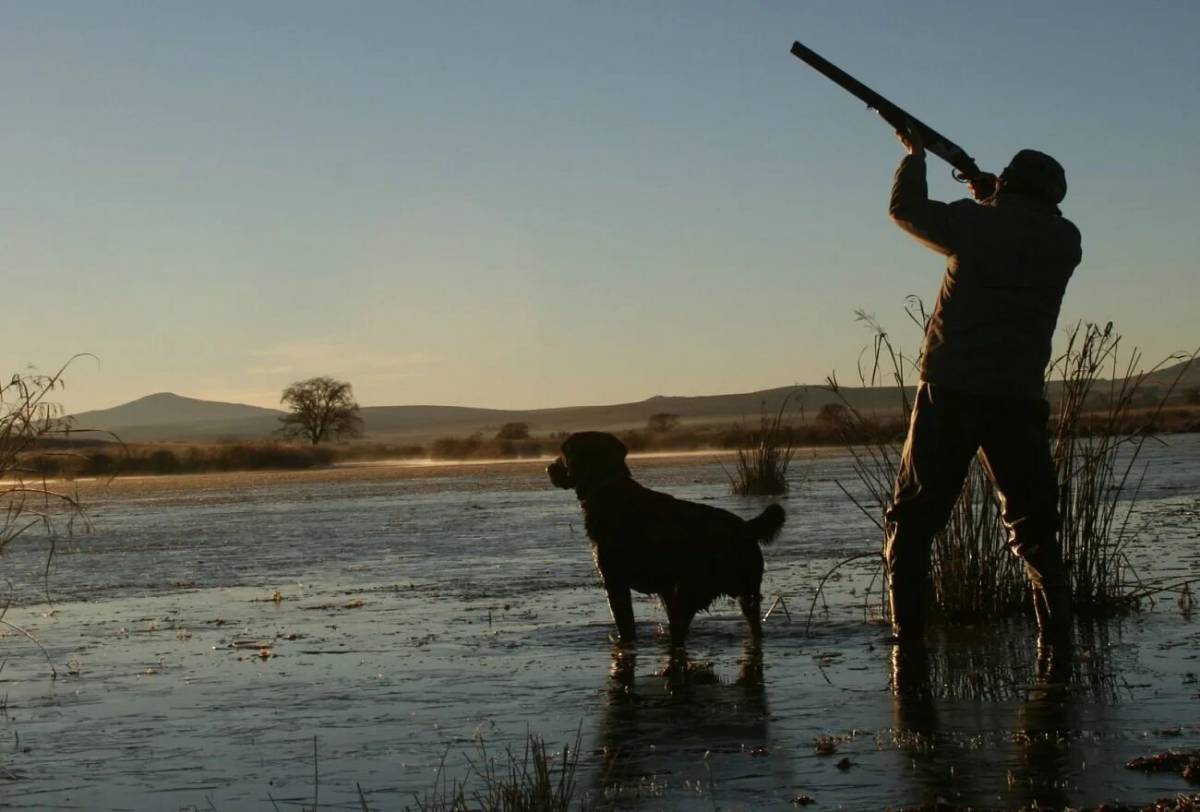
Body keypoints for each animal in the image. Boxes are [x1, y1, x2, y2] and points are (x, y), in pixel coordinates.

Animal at [547, 431, 787, 647]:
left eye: (564, 453)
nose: (548, 468)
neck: (608, 488)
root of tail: (746, 527)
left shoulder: (615, 582)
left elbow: (625, 625)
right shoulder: (661, 589)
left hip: (692, 588)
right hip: (743, 590)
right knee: (751, 621)